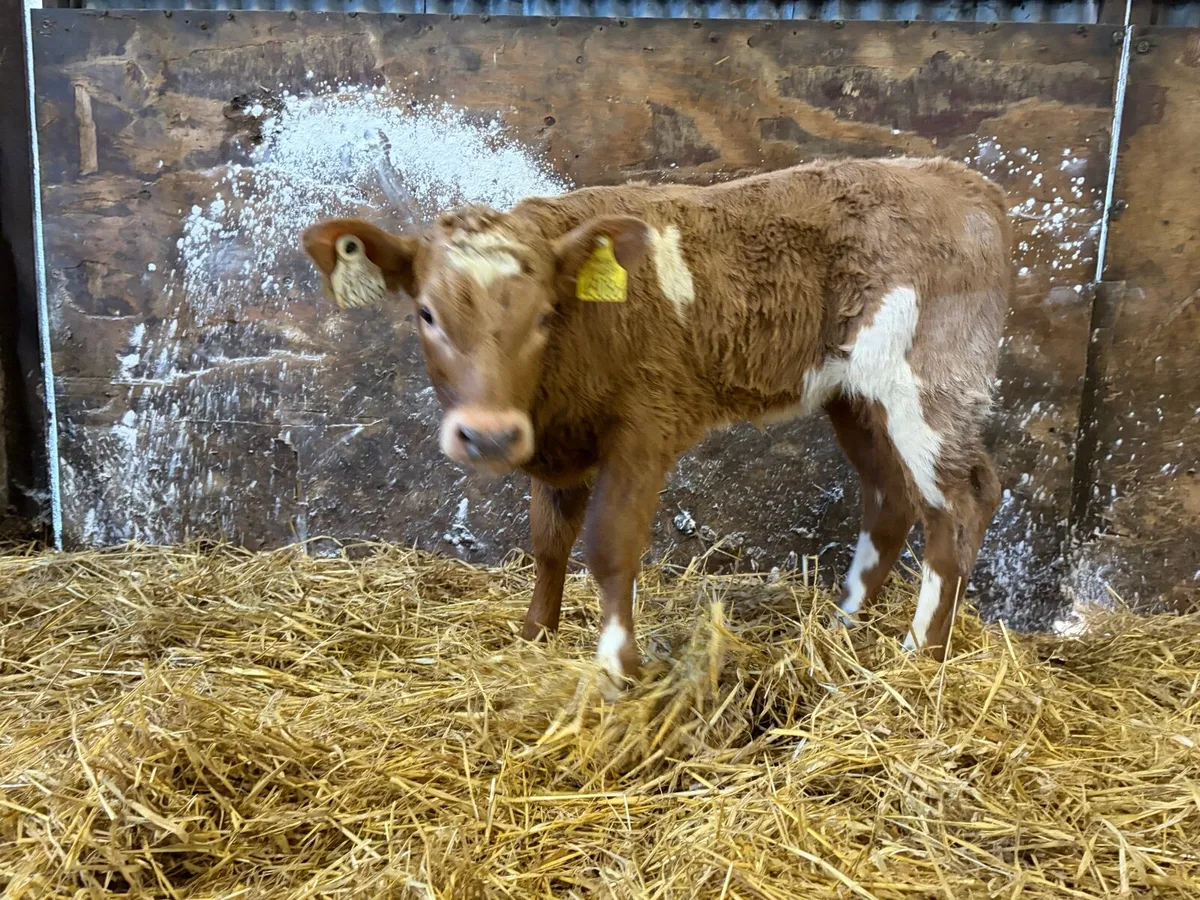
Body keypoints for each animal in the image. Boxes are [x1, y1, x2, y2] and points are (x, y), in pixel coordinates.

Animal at [302, 156, 1010, 696]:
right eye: (426, 313)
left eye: (545, 314)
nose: (489, 435)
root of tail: (953, 178)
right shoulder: (557, 446)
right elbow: (549, 542)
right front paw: (534, 637)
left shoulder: (646, 426)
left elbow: (609, 545)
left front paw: (618, 667)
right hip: (857, 397)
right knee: (890, 498)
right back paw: (841, 630)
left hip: (930, 384)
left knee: (961, 502)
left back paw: (919, 655)